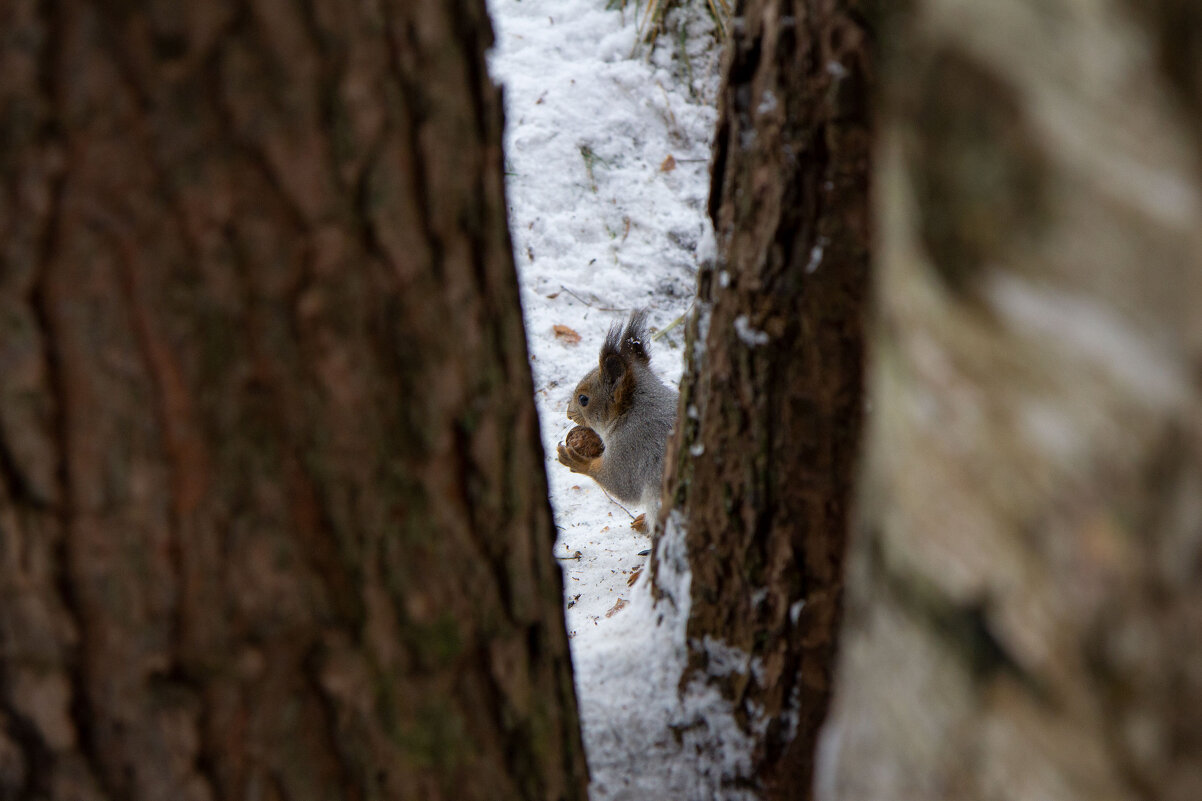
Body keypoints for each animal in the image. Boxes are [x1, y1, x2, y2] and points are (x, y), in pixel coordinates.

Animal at [552, 312, 677, 529]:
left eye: (583, 399)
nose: (568, 414)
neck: (632, 412)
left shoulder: (632, 448)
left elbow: (620, 484)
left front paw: (577, 460)